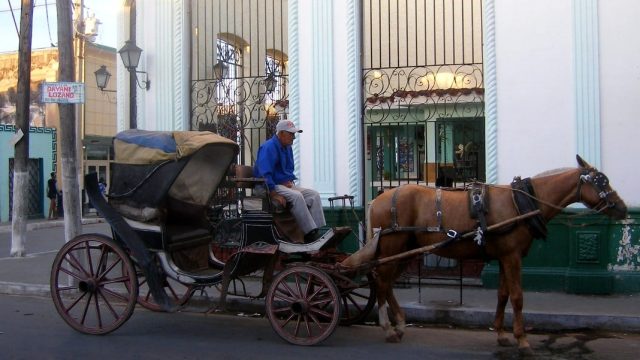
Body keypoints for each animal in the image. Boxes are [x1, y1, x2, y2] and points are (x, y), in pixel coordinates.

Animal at [368, 155, 628, 354]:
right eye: (601, 182)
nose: (622, 208)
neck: (521, 203)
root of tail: (377, 199)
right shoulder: (512, 256)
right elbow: (517, 297)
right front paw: (522, 341)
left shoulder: (505, 256)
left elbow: (503, 294)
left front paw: (502, 334)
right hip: (394, 247)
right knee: (381, 280)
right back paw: (388, 327)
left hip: (405, 252)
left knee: (386, 282)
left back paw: (399, 325)